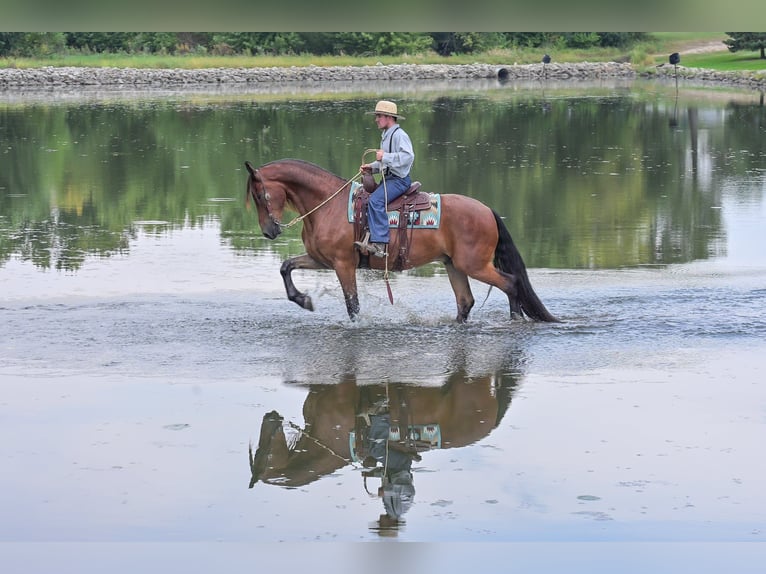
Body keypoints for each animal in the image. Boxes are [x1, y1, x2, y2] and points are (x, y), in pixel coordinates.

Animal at [244, 158, 558, 323]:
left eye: (260, 195)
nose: (269, 231)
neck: (327, 205)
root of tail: (487, 210)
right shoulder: (321, 260)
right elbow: (286, 266)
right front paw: (303, 300)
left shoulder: (343, 264)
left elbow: (352, 304)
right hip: (454, 265)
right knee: (465, 301)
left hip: (474, 265)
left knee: (510, 283)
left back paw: (515, 320)